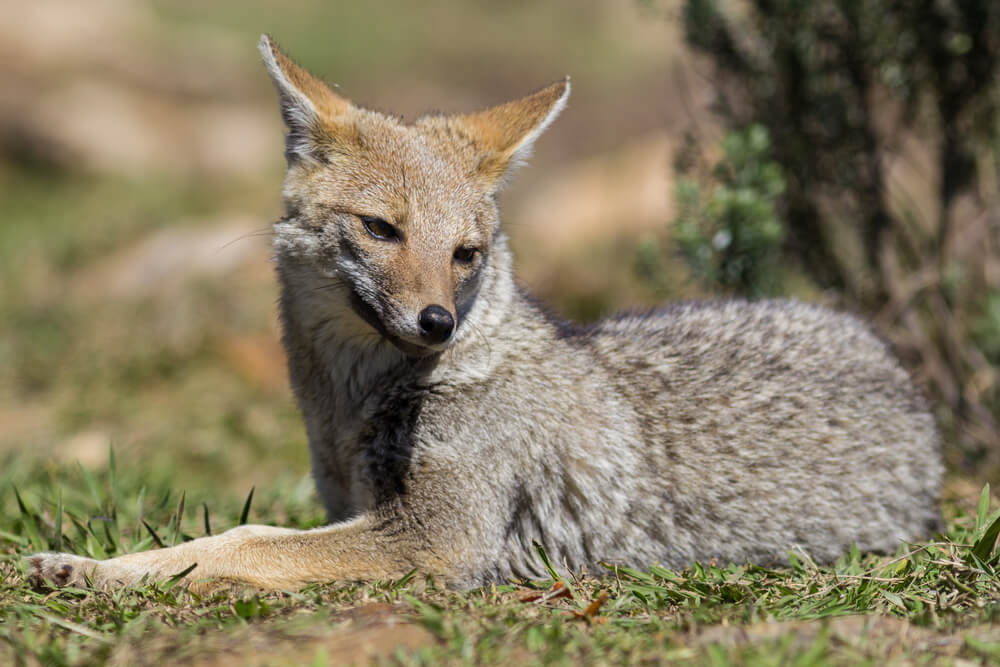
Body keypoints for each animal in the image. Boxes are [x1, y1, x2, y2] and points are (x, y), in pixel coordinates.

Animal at [29, 35, 943, 592]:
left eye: (466, 252)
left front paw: (121, 572)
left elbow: (243, 540)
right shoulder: (354, 507)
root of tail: (898, 369)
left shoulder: (433, 538)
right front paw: (94, 566)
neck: (353, 405)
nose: (437, 321)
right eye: (382, 229)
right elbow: (246, 535)